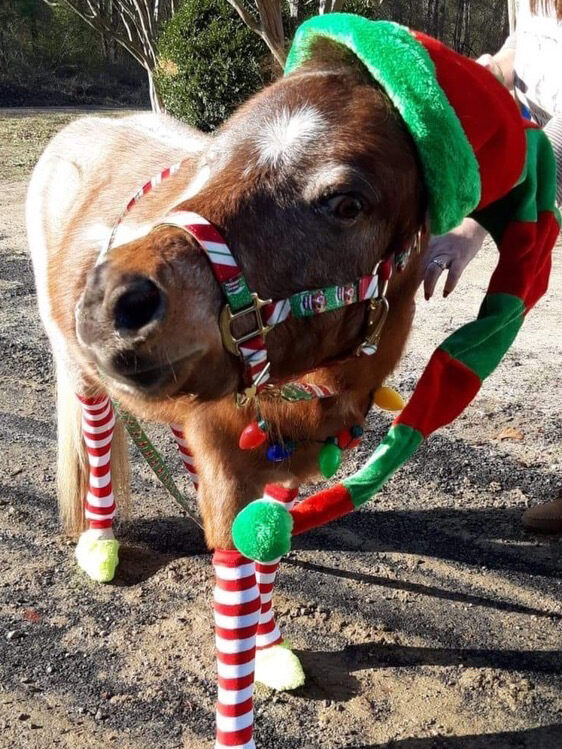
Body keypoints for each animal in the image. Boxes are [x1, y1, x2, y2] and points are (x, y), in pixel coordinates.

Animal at [25, 36, 424, 748]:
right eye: (213, 161)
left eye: (347, 202)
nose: (111, 300)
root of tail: (76, 129)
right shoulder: (232, 480)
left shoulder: (277, 476)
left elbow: (264, 558)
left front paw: (270, 650)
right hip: (78, 370)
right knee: (98, 438)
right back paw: (99, 543)